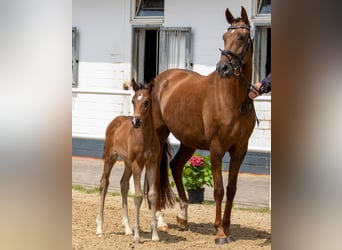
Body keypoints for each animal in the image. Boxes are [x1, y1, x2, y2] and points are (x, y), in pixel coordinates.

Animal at [96, 79, 174, 242]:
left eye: (146, 101)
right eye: (132, 101)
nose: (136, 121)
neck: (145, 137)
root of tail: (115, 121)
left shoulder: (152, 163)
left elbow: (152, 195)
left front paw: (155, 235)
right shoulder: (137, 163)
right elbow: (138, 196)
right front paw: (137, 236)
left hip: (127, 162)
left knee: (123, 184)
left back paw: (127, 228)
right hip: (111, 157)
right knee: (104, 183)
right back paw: (100, 228)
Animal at [152, 6, 254, 244]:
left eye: (241, 37)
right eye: (224, 37)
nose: (223, 68)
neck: (232, 99)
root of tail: (162, 79)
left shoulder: (240, 150)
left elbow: (232, 189)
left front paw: (227, 228)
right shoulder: (217, 148)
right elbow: (218, 189)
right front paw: (219, 232)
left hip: (189, 142)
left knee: (176, 166)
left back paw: (183, 217)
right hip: (160, 135)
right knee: (157, 172)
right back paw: (160, 220)